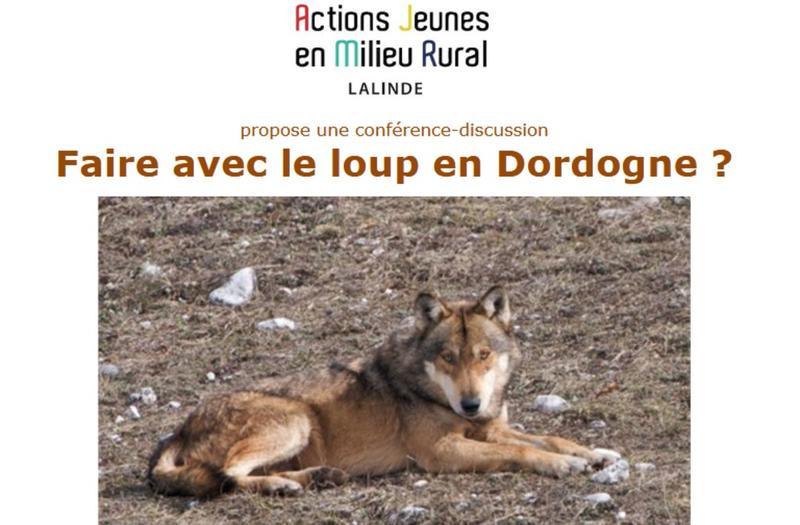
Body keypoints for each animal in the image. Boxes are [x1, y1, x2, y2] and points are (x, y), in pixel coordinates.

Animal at [148, 286, 619, 497]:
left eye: (483, 355)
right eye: (448, 357)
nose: (470, 404)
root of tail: (179, 430)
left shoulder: (489, 428)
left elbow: (548, 436)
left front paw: (594, 453)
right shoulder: (441, 451)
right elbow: (521, 450)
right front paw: (562, 465)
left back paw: (316, 478)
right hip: (296, 421)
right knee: (229, 474)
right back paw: (288, 486)